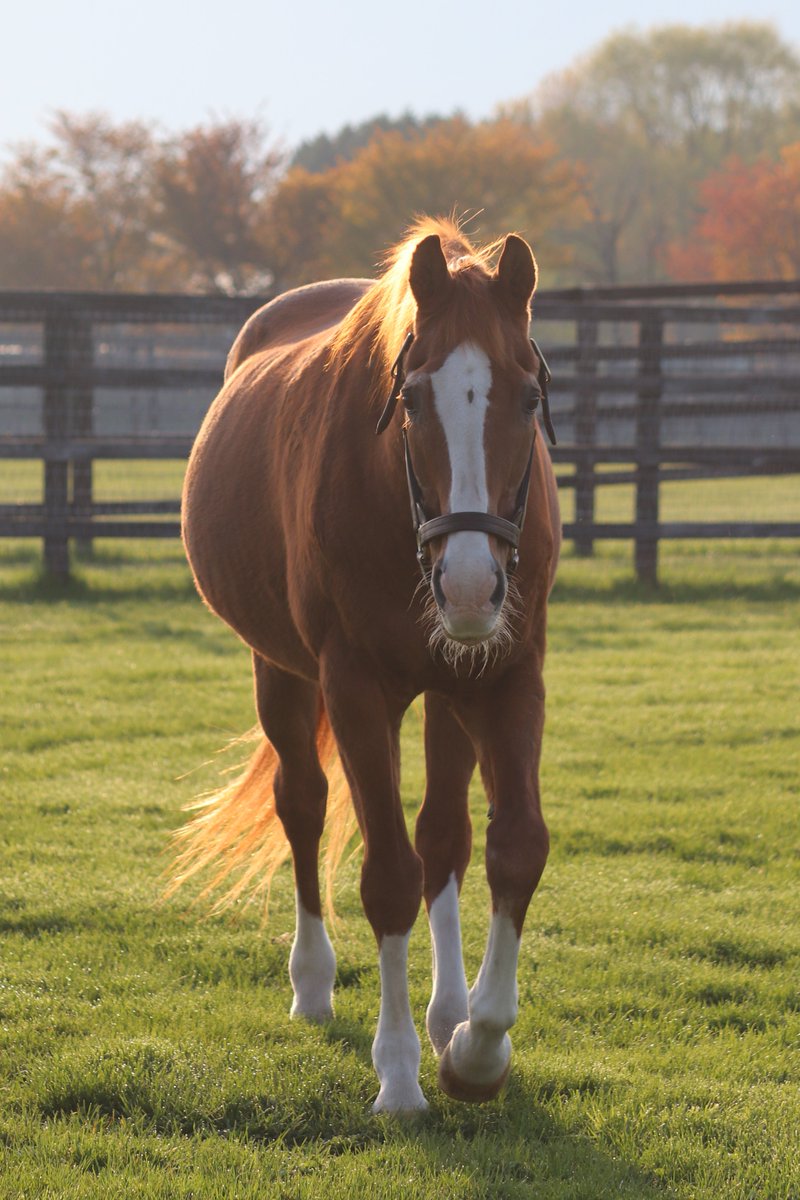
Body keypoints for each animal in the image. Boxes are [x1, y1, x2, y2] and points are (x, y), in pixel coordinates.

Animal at [171, 217, 561, 1113]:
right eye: (410, 400)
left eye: (529, 397)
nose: (469, 583)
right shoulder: (352, 688)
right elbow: (386, 876)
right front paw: (400, 1076)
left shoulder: (507, 675)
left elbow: (513, 847)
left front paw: (475, 1048)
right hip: (280, 673)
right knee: (304, 804)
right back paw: (313, 983)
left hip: (451, 691)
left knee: (444, 838)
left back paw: (447, 1013)